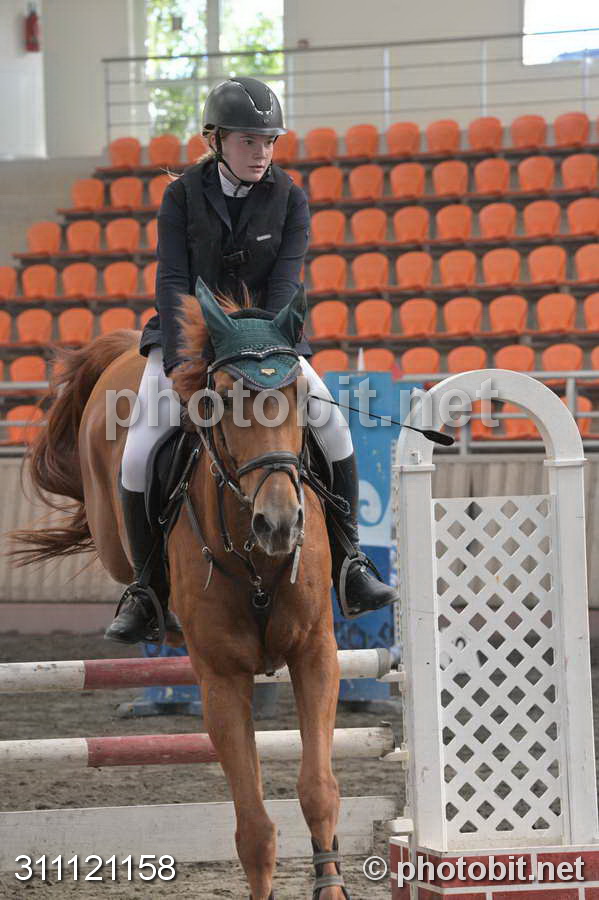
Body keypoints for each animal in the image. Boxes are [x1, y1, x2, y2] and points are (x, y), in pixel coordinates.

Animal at [11, 283, 350, 900]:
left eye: (295, 395)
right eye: (225, 399)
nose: (279, 524)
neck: (256, 559)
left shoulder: (315, 654)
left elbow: (319, 789)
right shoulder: (220, 678)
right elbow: (254, 829)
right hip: (112, 528)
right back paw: (149, 614)